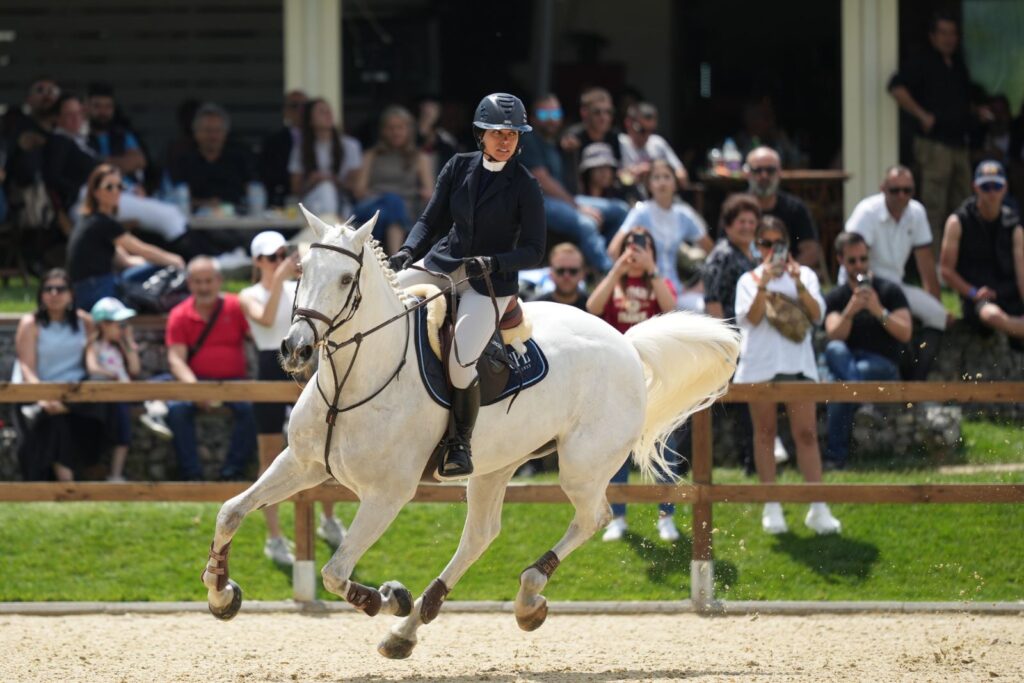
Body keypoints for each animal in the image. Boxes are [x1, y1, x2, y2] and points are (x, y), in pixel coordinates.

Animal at [197, 208, 737, 655]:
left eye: (347, 278)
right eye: (302, 273)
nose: (295, 350)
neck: (354, 377)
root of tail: (625, 342)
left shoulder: (386, 495)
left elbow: (334, 573)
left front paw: (387, 597)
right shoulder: (303, 464)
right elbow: (230, 512)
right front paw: (222, 593)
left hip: (582, 467)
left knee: (593, 517)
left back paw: (525, 597)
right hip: (496, 466)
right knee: (481, 534)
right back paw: (411, 626)